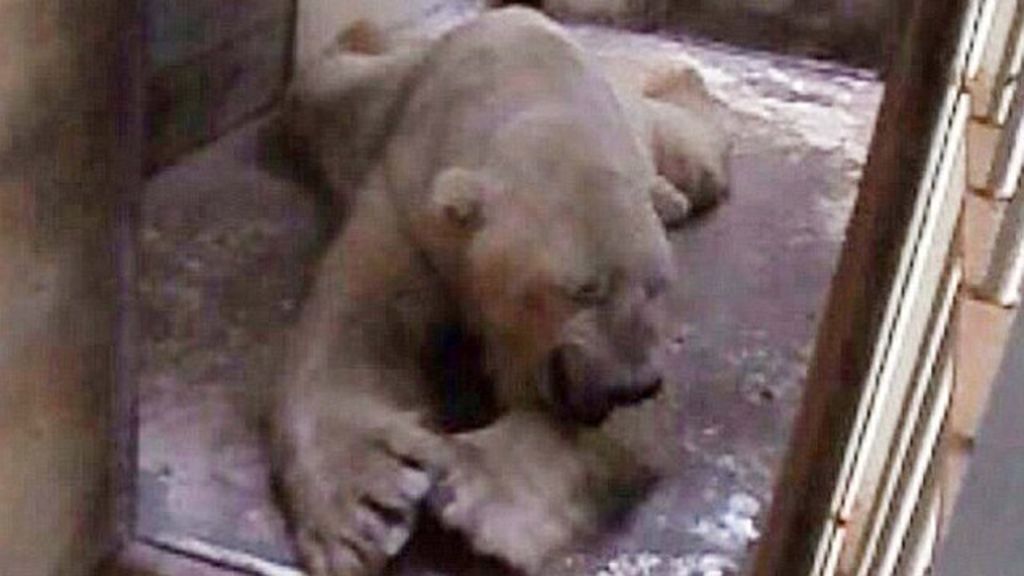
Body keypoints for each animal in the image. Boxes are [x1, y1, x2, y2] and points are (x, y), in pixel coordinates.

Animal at [272, 7, 730, 576]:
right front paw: (364, 509)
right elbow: (356, 327)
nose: (633, 384)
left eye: (657, 284)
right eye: (582, 290)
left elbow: (628, 429)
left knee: (695, 149)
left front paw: (473, 485)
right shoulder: (408, 199)